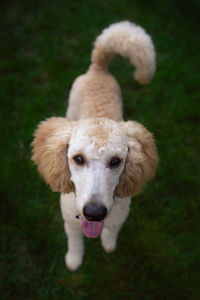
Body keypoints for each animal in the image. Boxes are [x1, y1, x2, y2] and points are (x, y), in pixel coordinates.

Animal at [32, 19, 159, 270]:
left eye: (116, 161)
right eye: (78, 159)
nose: (94, 212)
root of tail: (99, 66)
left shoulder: (118, 219)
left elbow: (111, 233)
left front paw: (108, 245)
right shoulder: (70, 224)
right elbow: (74, 242)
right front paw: (73, 261)